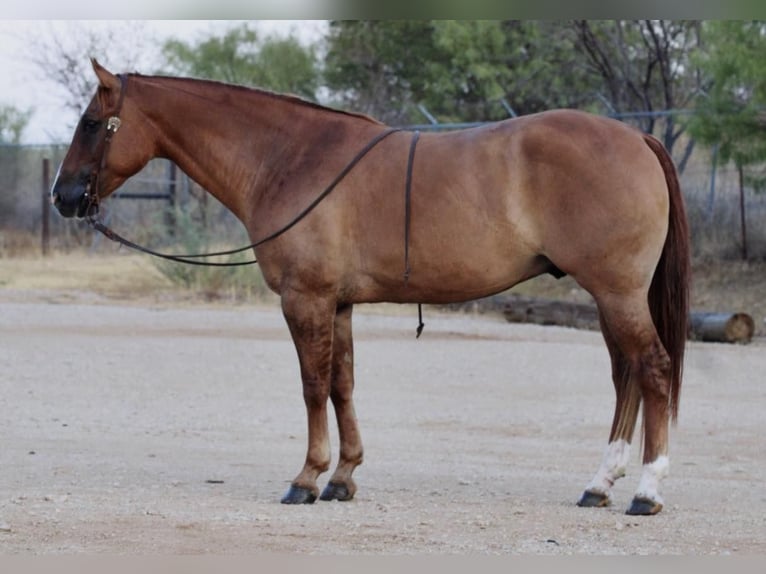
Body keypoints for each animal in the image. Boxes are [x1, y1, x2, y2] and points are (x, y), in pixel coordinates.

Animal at [51, 59, 692, 516]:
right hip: (611, 299)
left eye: (90, 124)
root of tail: (636, 139)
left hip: (617, 294)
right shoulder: (338, 305)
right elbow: (342, 386)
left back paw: (647, 491)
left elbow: (312, 387)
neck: (290, 158)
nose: (63, 196)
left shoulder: (305, 300)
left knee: (653, 370)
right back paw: (599, 485)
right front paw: (343, 477)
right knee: (627, 377)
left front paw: (306, 478)